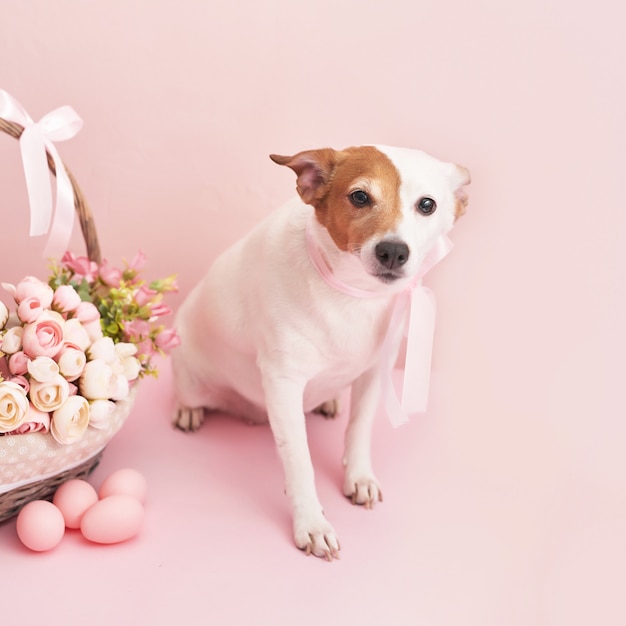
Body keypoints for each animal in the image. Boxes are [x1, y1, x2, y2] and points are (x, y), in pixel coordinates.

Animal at [171, 144, 468, 560]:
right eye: (360, 196)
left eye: (427, 205)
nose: (393, 251)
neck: (352, 294)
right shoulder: (284, 384)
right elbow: (299, 462)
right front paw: (311, 523)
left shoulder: (373, 371)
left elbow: (358, 430)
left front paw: (358, 477)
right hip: (189, 366)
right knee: (187, 391)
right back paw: (188, 410)